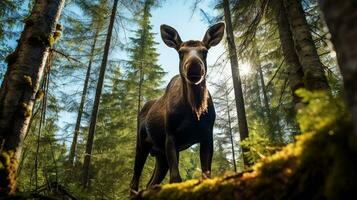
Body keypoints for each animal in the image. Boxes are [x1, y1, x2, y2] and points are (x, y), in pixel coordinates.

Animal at [131, 22, 224, 195]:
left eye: (205, 51)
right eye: (181, 52)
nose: (194, 66)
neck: (194, 111)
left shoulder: (207, 135)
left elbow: (206, 174)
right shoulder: (170, 135)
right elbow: (176, 178)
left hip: (159, 154)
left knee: (150, 183)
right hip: (142, 143)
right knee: (134, 181)